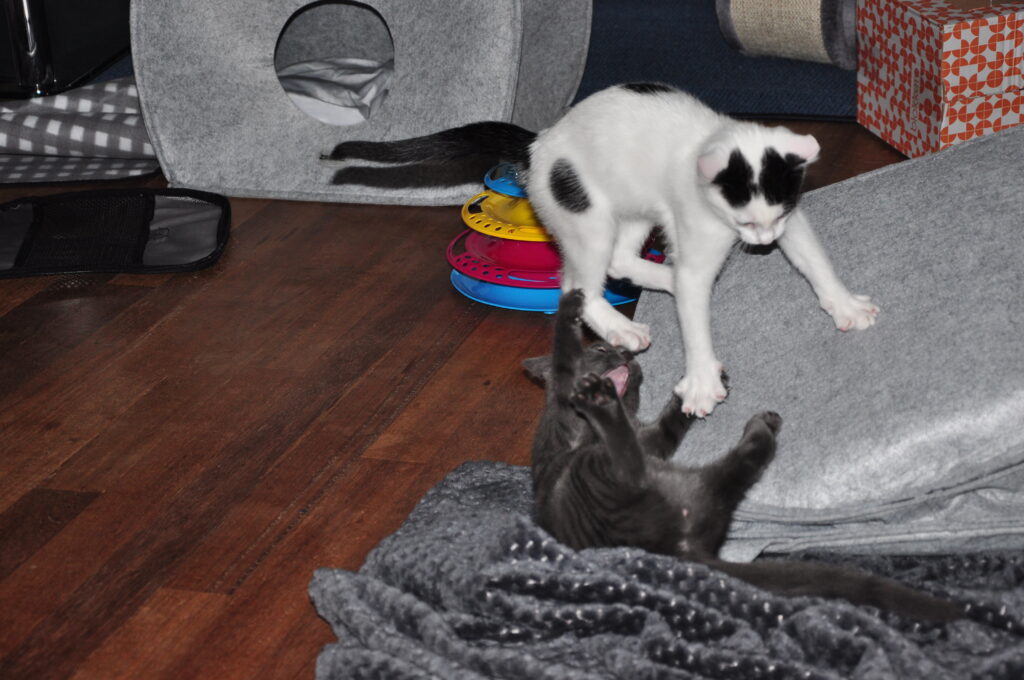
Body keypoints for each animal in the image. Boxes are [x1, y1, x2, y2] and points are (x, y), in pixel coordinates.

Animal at [327, 82, 880, 417]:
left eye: (775, 219)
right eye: (745, 219)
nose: (761, 244)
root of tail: (539, 145)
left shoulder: (793, 218)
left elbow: (814, 259)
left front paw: (845, 306)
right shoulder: (699, 232)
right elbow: (695, 314)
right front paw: (702, 379)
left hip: (632, 212)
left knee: (618, 261)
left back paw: (659, 281)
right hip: (586, 219)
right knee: (576, 285)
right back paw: (621, 324)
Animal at [524, 288, 962, 622]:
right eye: (600, 347)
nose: (629, 357)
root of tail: (682, 549)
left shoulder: (655, 440)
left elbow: (670, 424)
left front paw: (695, 391)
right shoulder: (569, 407)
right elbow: (564, 354)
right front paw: (571, 302)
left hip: (693, 482)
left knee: (744, 455)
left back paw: (761, 424)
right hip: (598, 473)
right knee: (631, 462)